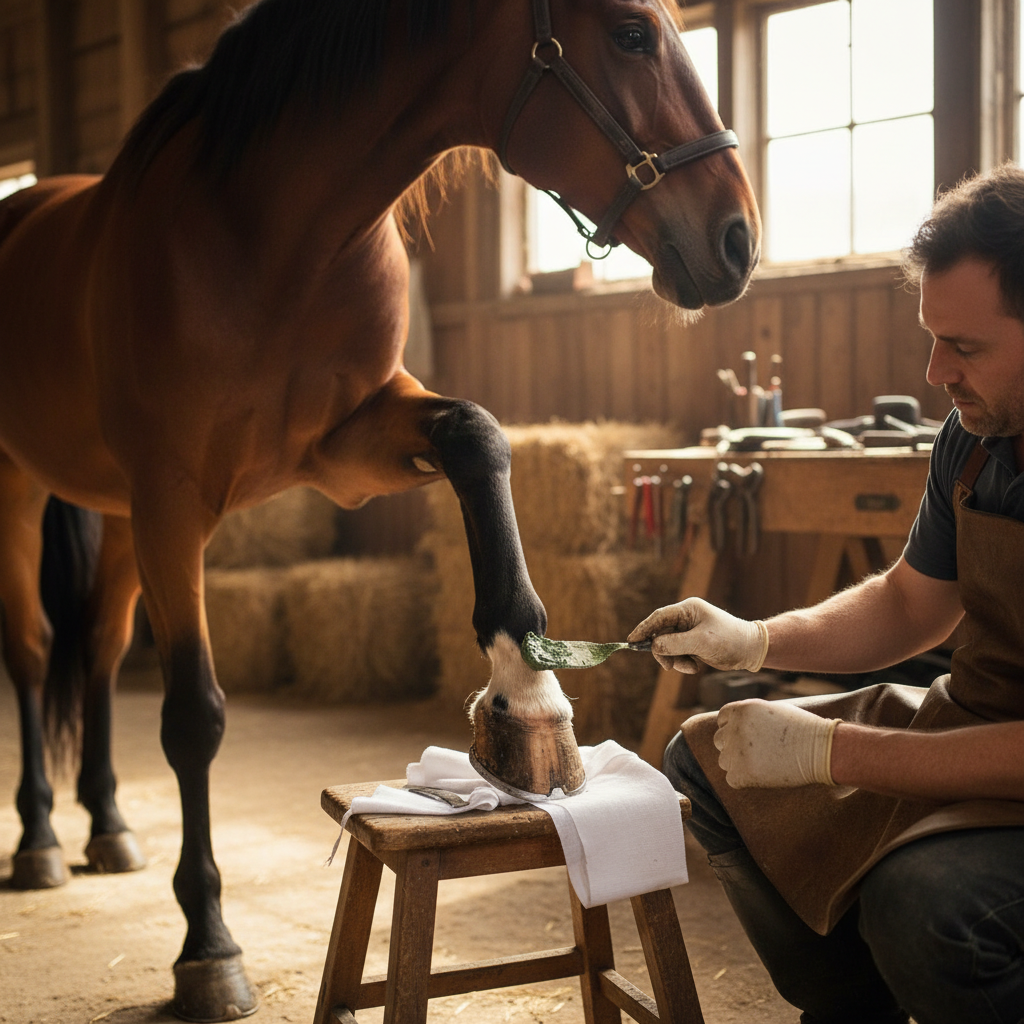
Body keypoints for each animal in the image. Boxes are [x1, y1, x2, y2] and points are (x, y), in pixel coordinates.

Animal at [0, 0, 759, 1018]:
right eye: (633, 32)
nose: (737, 239)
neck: (268, 231)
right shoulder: (172, 496)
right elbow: (192, 717)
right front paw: (208, 946)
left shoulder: (351, 443)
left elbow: (479, 436)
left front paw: (528, 696)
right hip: (32, 494)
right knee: (34, 652)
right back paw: (42, 840)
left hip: (121, 524)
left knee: (94, 652)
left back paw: (108, 825)